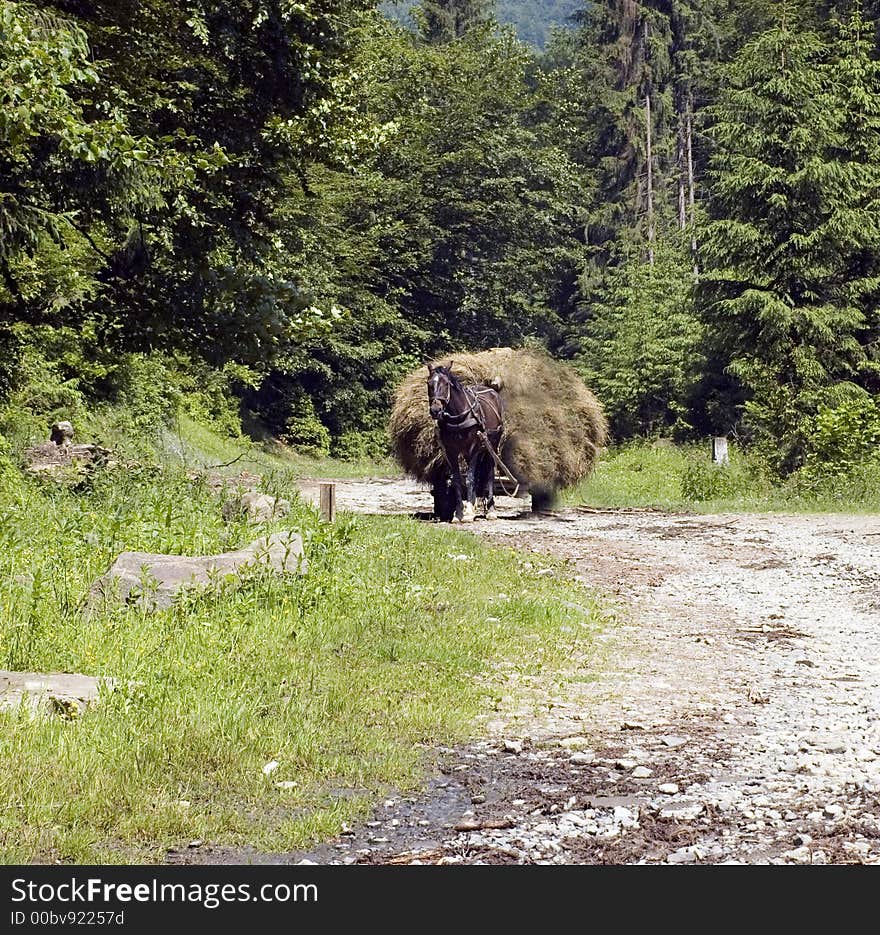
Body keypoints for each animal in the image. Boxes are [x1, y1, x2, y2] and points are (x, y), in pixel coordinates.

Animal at [428, 362, 506, 524]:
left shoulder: (474, 448)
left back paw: (490, 510)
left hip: (492, 446)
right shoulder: (451, 451)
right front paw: (459, 513)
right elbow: (457, 480)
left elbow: (469, 478)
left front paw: (468, 513)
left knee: (489, 474)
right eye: (429, 383)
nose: (435, 410)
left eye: (446, 384)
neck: (459, 415)